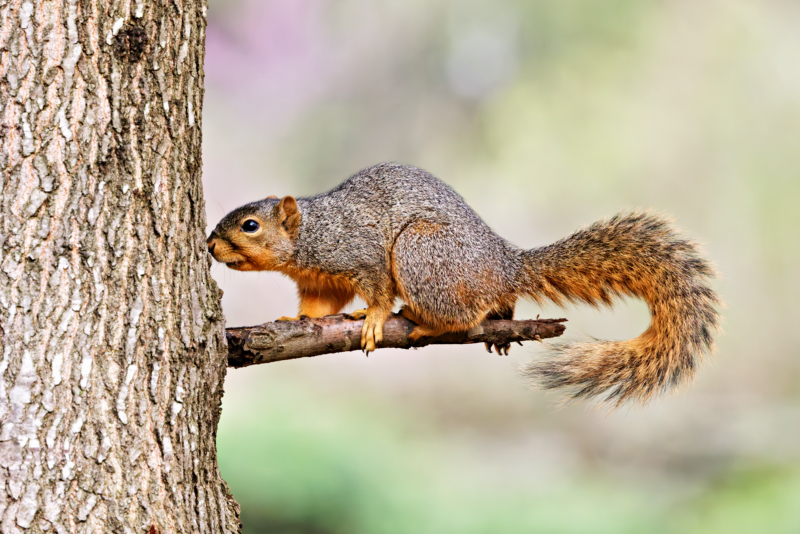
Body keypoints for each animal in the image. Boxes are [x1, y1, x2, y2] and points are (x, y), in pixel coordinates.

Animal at [206, 163, 720, 406]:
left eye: (250, 226)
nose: (209, 245)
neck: (310, 235)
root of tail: (503, 265)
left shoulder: (360, 253)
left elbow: (377, 290)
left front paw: (372, 318)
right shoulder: (320, 279)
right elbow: (318, 306)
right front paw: (296, 317)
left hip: (421, 254)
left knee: (461, 315)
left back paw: (424, 322)